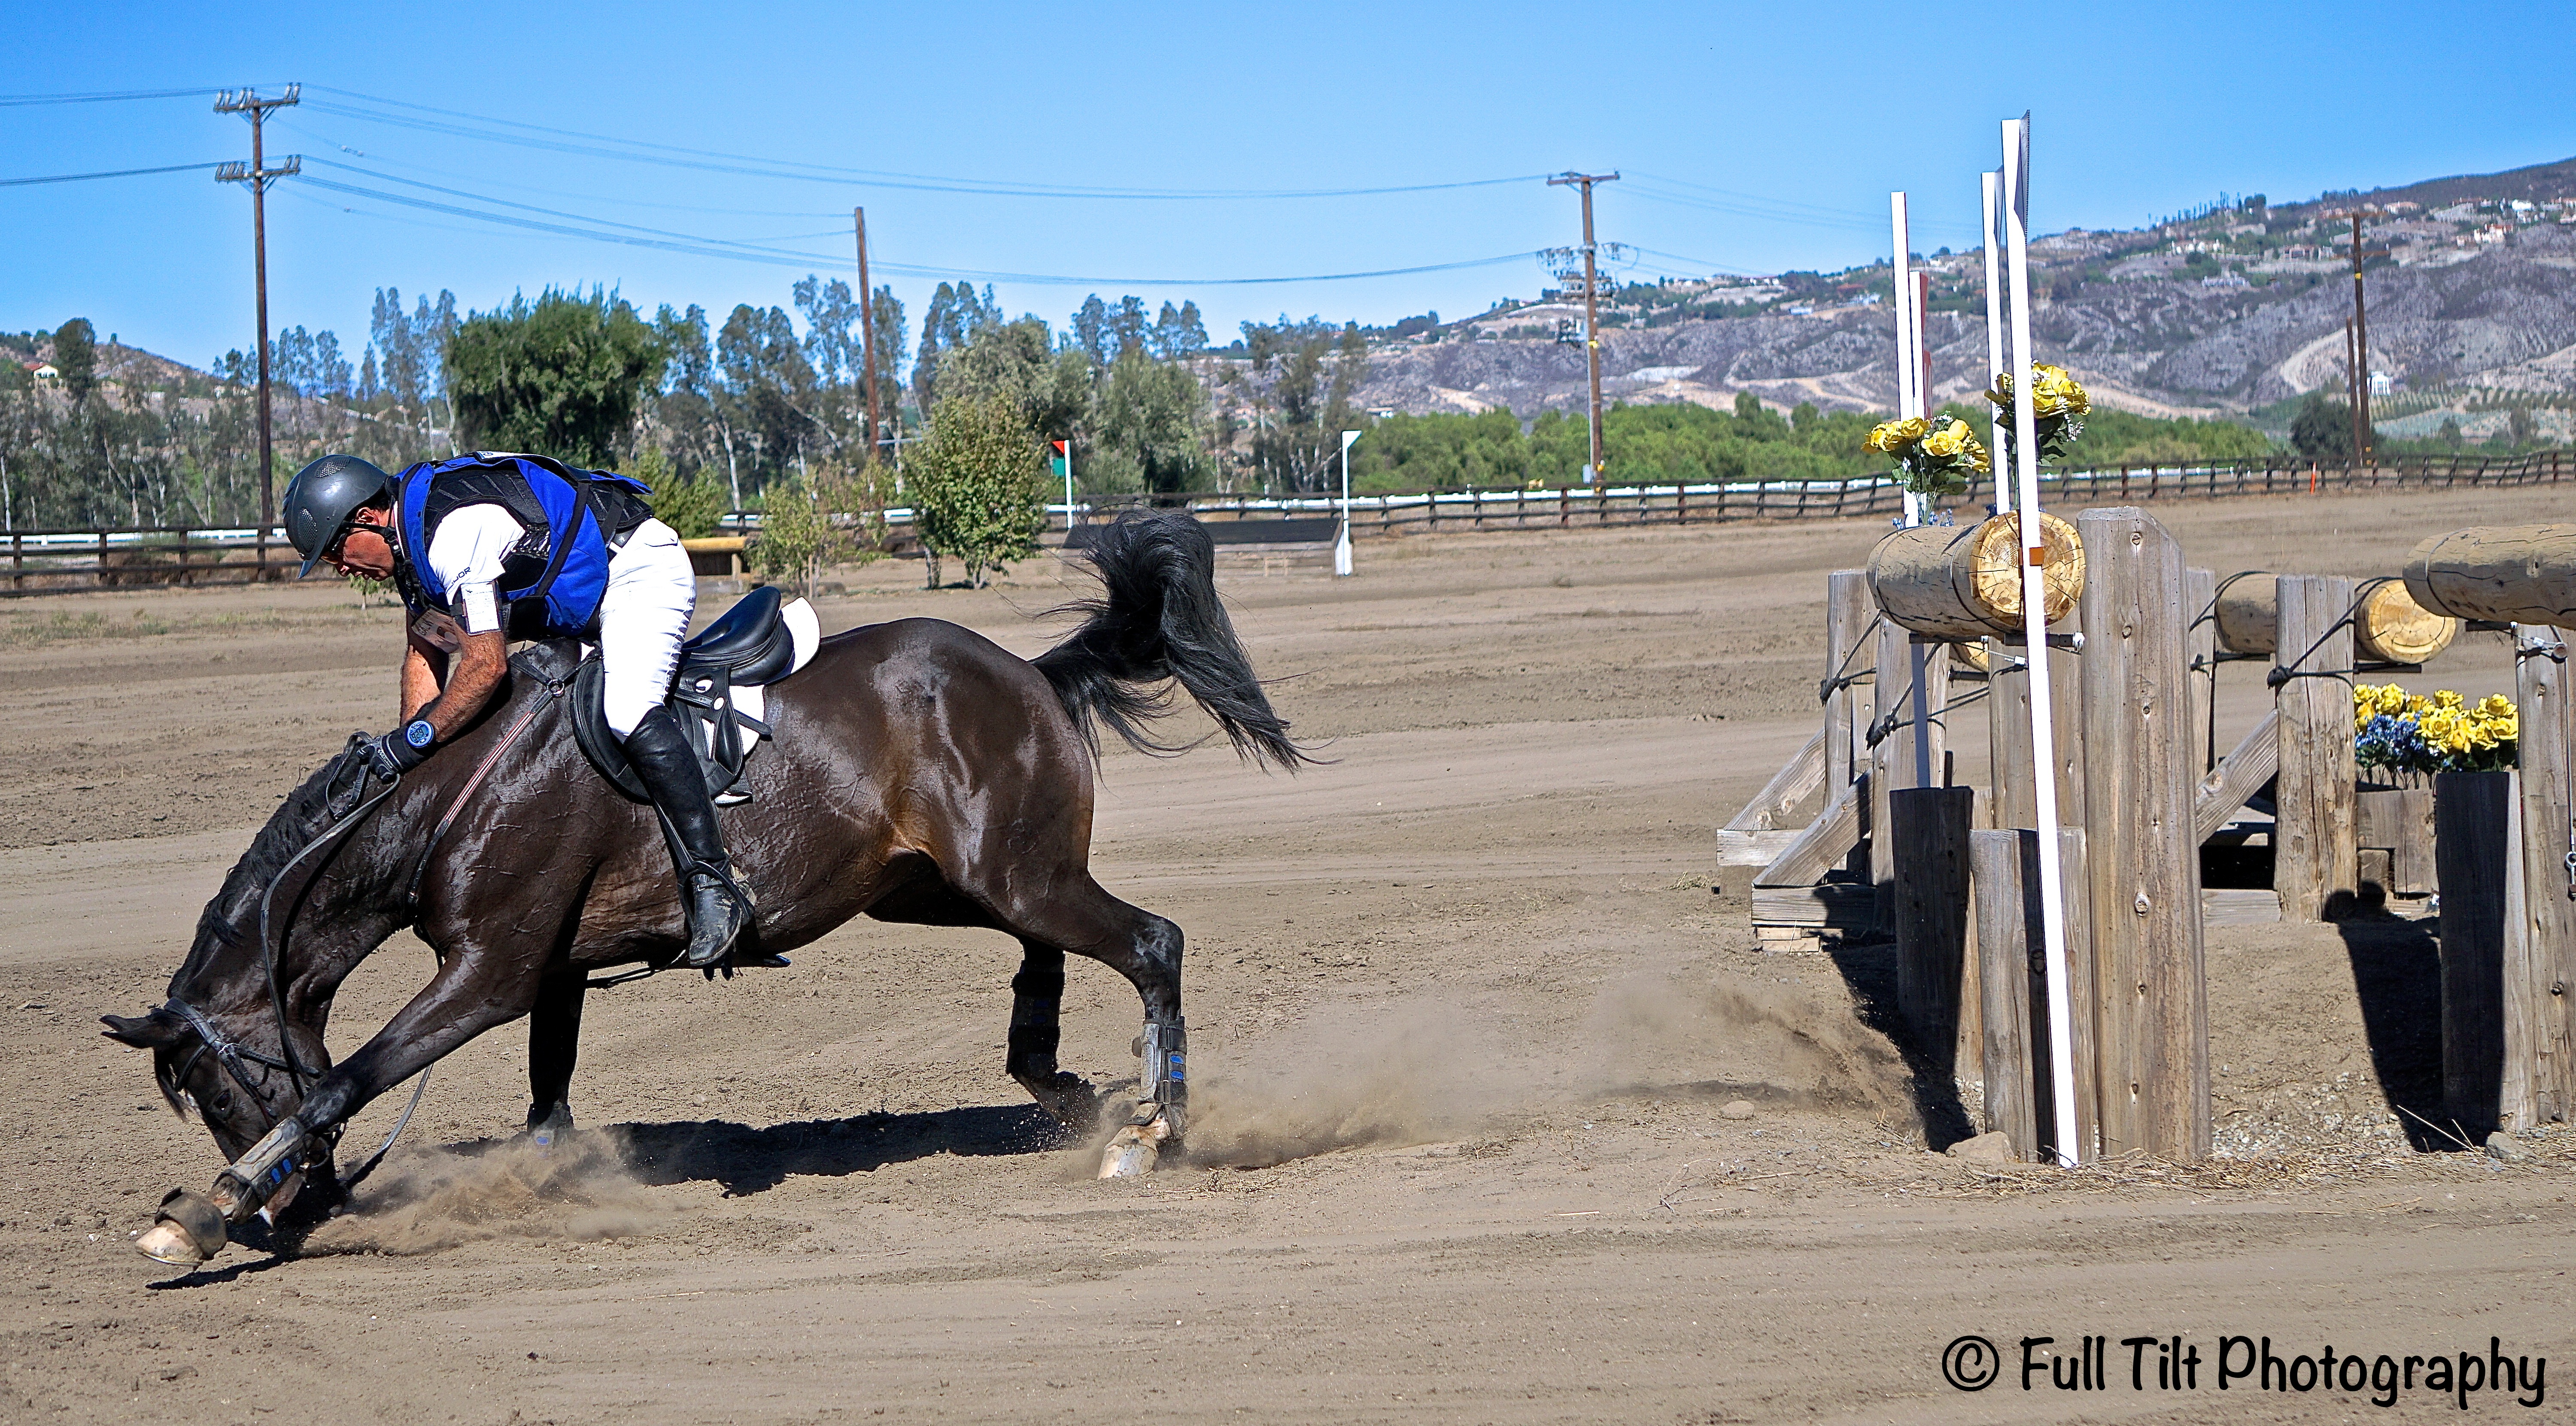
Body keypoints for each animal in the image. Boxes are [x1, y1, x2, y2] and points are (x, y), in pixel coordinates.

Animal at [103, 504, 1309, 1261]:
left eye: (213, 1093)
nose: (299, 1210)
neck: (446, 800)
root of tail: (1030, 673)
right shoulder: (555, 969)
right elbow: (546, 1099)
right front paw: (544, 1185)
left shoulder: (489, 972)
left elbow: (343, 1081)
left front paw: (210, 1204)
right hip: (945, 883)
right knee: (1051, 951)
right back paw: (1060, 1080)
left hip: (1010, 871)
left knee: (1152, 942)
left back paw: (1151, 1126)